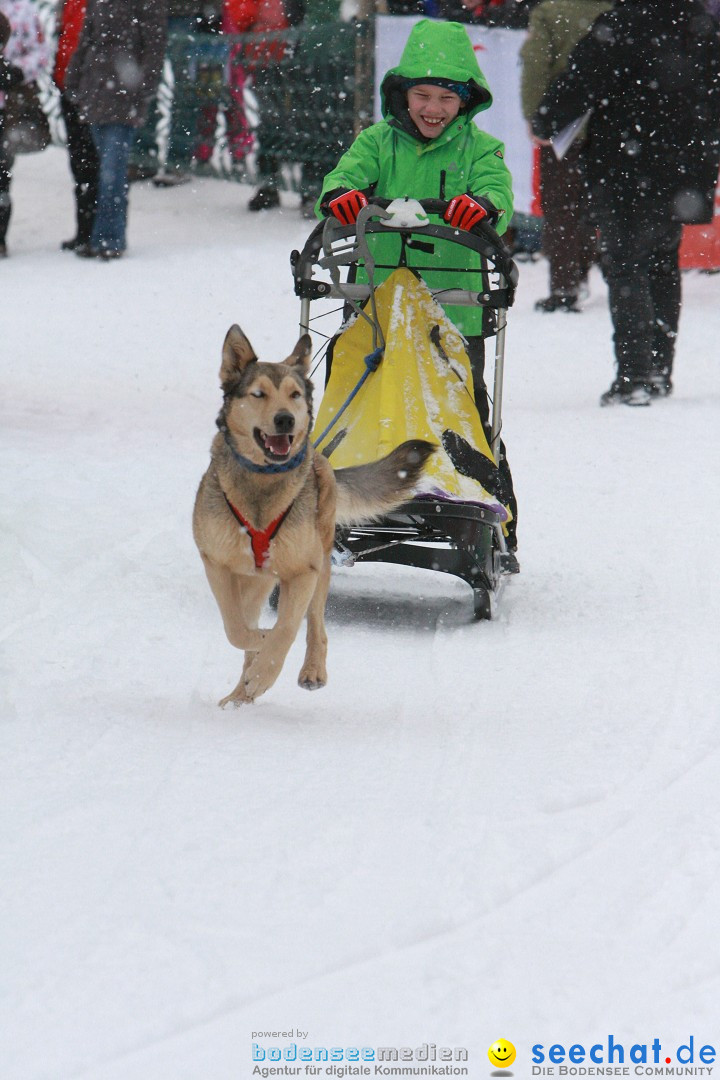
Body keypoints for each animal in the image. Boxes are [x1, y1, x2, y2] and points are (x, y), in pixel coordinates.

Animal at [191, 324, 433, 704]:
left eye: (294, 394)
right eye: (258, 393)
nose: (285, 419)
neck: (262, 487)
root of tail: (322, 457)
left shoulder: (302, 572)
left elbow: (287, 629)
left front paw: (266, 667)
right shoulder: (216, 563)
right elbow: (236, 628)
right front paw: (257, 652)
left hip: (319, 560)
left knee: (315, 623)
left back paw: (308, 670)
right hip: (257, 580)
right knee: (248, 626)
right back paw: (240, 694)